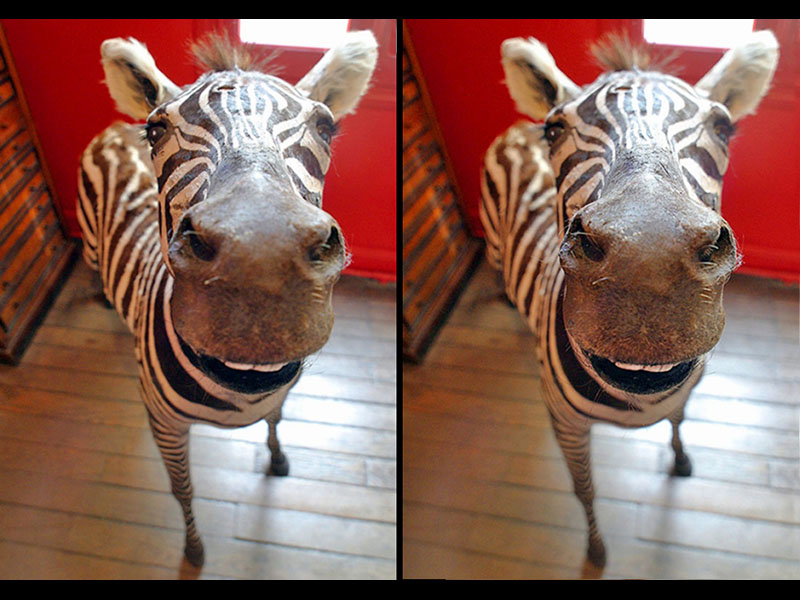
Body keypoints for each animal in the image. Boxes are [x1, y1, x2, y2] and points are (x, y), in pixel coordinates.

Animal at [77, 31, 377, 566]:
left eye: (326, 126)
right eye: (157, 130)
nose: (260, 268)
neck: (242, 386)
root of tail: (116, 127)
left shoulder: (278, 394)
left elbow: (276, 421)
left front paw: (277, 458)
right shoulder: (165, 425)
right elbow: (183, 490)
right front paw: (194, 551)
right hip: (91, 242)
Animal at [480, 31, 778, 568]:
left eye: (724, 127)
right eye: (555, 130)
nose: (648, 268)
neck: (639, 396)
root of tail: (517, 128)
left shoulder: (682, 395)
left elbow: (679, 422)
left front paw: (680, 459)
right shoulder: (566, 424)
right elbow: (585, 490)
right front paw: (596, 551)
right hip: (493, 241)